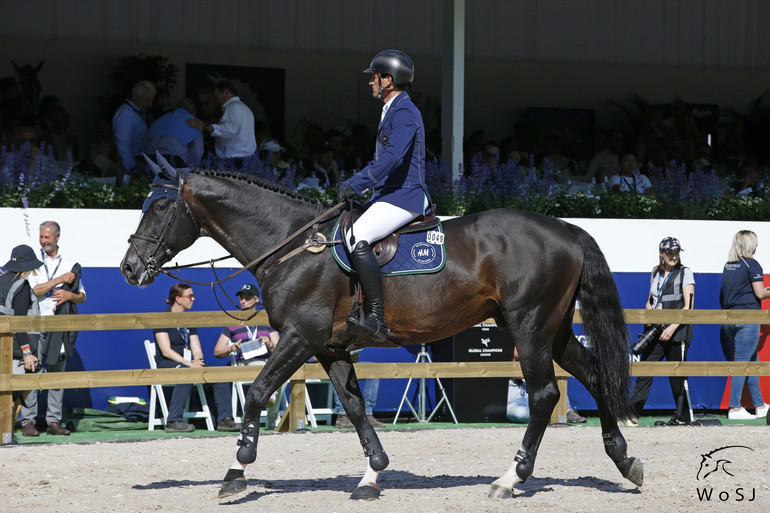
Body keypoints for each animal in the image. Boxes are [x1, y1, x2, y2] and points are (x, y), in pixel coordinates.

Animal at [121, 161, 640, 500]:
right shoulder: (329, 347)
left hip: (530, 326)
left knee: (545, 395)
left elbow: (257, 392)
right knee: (595, 375)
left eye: (161, 206)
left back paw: (511, 478)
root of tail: (566, 229)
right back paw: (624, 460)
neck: (292, 244)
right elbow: (354, 408)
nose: (129, 267)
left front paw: (236, 471)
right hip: (552, 330)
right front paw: (372, 475)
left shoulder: (300, 337)